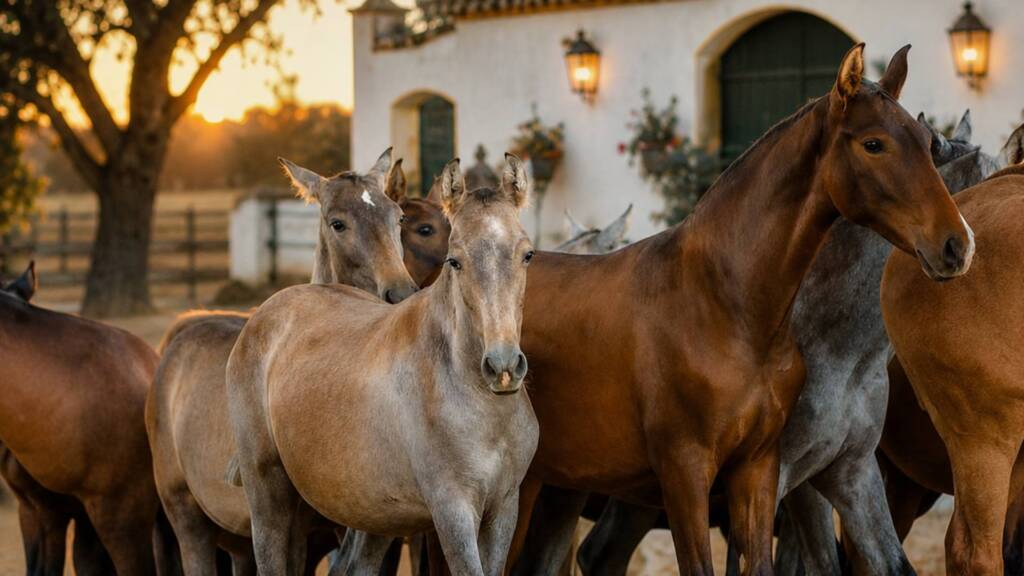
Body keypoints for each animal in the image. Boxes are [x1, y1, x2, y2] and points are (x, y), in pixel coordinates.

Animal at [226, 155, 538, 576]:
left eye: (527, 254)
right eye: (454, 261)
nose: (503, 366)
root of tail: (263, 314)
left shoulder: (503, 509)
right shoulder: (453, 511)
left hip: (370, 517)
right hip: (268, 494)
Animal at [506, 44, 972, 576]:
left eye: (926, 143)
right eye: (874, 144)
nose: (957, 245)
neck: (727, 308)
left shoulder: (759, 470)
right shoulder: (685, 475)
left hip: (553, 488)